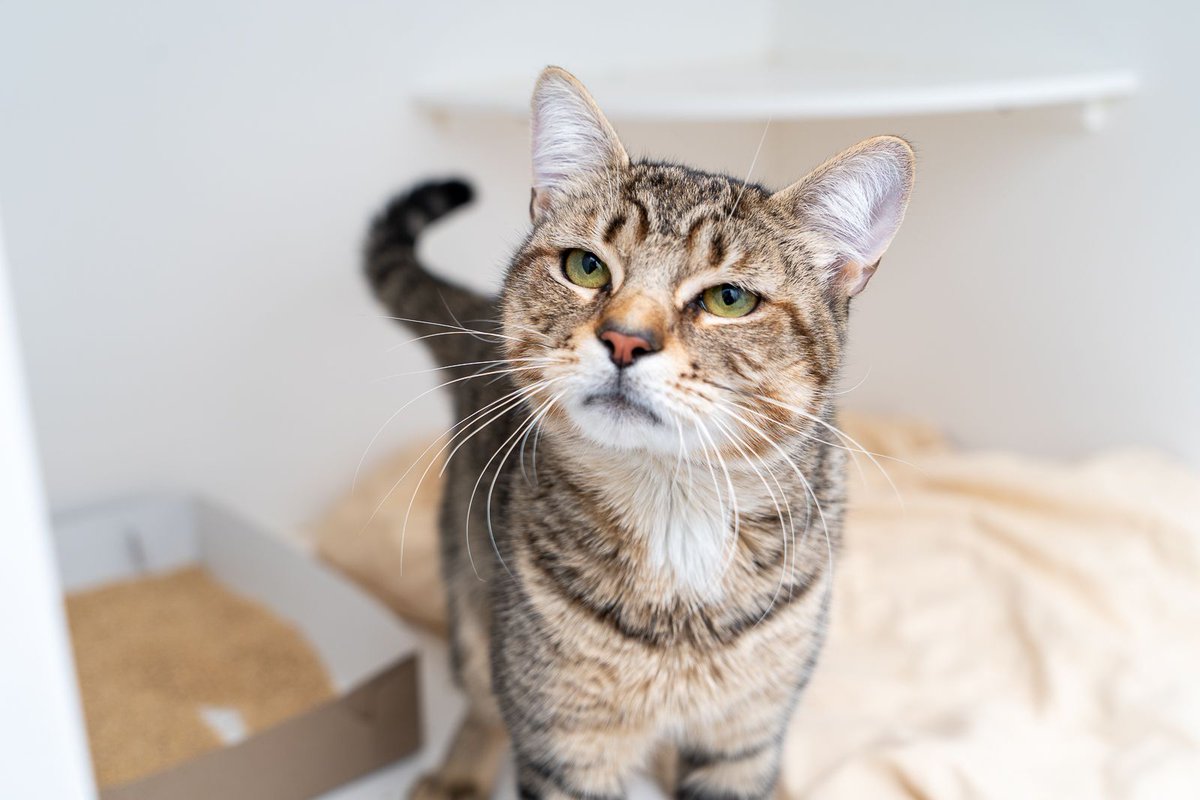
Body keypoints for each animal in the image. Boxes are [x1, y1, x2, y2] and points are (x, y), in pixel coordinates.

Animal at [360, 65, 912, 796]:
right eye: (586, 266)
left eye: (728, 299)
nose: (625, 339)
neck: (676, 511)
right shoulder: (567, 744)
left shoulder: (744, 734)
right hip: (470, 589)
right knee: (481, 694)